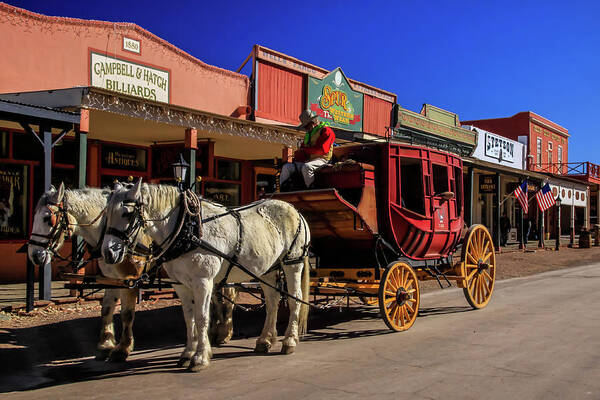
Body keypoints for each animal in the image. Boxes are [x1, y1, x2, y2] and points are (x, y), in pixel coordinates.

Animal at [101, 181, 312, 372]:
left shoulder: (202, 281)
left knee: (295, 299)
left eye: (127, 213)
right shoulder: (181, 285)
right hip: (268, 269)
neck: (188, 229)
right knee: (272, 301)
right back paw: (265, 340)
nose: (108, 253)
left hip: (293, 263)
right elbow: (189, 318)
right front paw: (187, 353)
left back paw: (289, 341)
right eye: (106, 214)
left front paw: (200, 357)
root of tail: (295, 211)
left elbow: (202, 317)